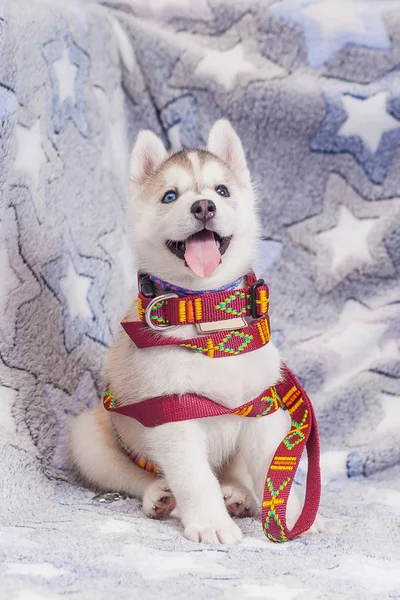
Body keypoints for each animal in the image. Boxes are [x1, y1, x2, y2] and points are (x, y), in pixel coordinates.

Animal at [69, 120, 306, 544]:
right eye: (170, 196)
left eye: (222, 191)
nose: (203, 206)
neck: (208, 315)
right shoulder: (173, 418)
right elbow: (195, 478)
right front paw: (211, 523)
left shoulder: (263, 411)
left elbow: (274, 469)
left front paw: (289, 515)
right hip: (89, 438)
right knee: (132, 477)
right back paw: (159, 495)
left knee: (236, 476)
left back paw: (238, 496)